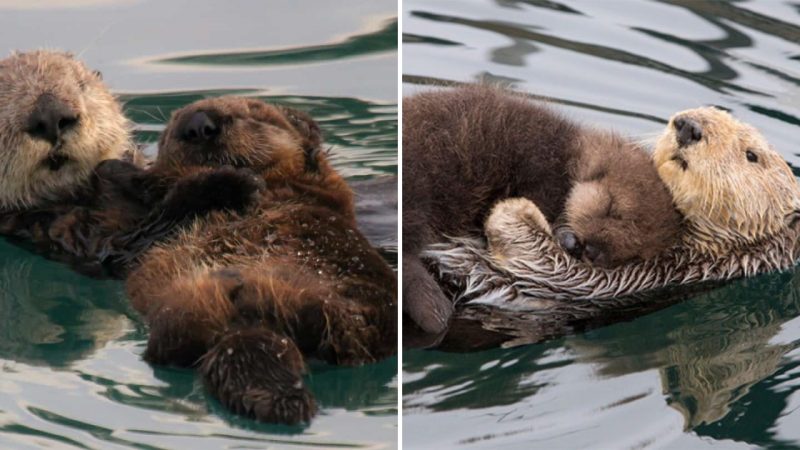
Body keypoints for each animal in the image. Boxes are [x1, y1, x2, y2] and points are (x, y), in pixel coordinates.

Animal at [406, 84, 680, 338]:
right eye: (611, 209)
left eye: (635, 252)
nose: (592, 251)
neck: (567, 159)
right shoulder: (544, 178)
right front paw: (567, 238)